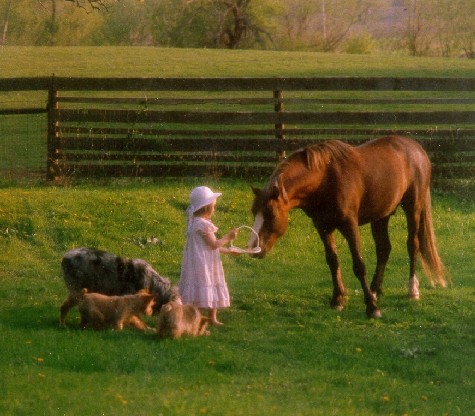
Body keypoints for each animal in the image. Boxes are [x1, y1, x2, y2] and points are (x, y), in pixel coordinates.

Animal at [251, 135, 448, 316]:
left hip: (412, 208)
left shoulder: (349, 225)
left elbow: (359, 265)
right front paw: (338, 299)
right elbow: (333, 261)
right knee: (384, 249)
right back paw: (375, 290)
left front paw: (372, 308)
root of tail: (417, 148)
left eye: (271, 215)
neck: (325, 179)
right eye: (253, 212)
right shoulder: (322, 227)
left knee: (412, 245)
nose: (254, 249)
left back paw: (412, 290)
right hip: (381, 215)